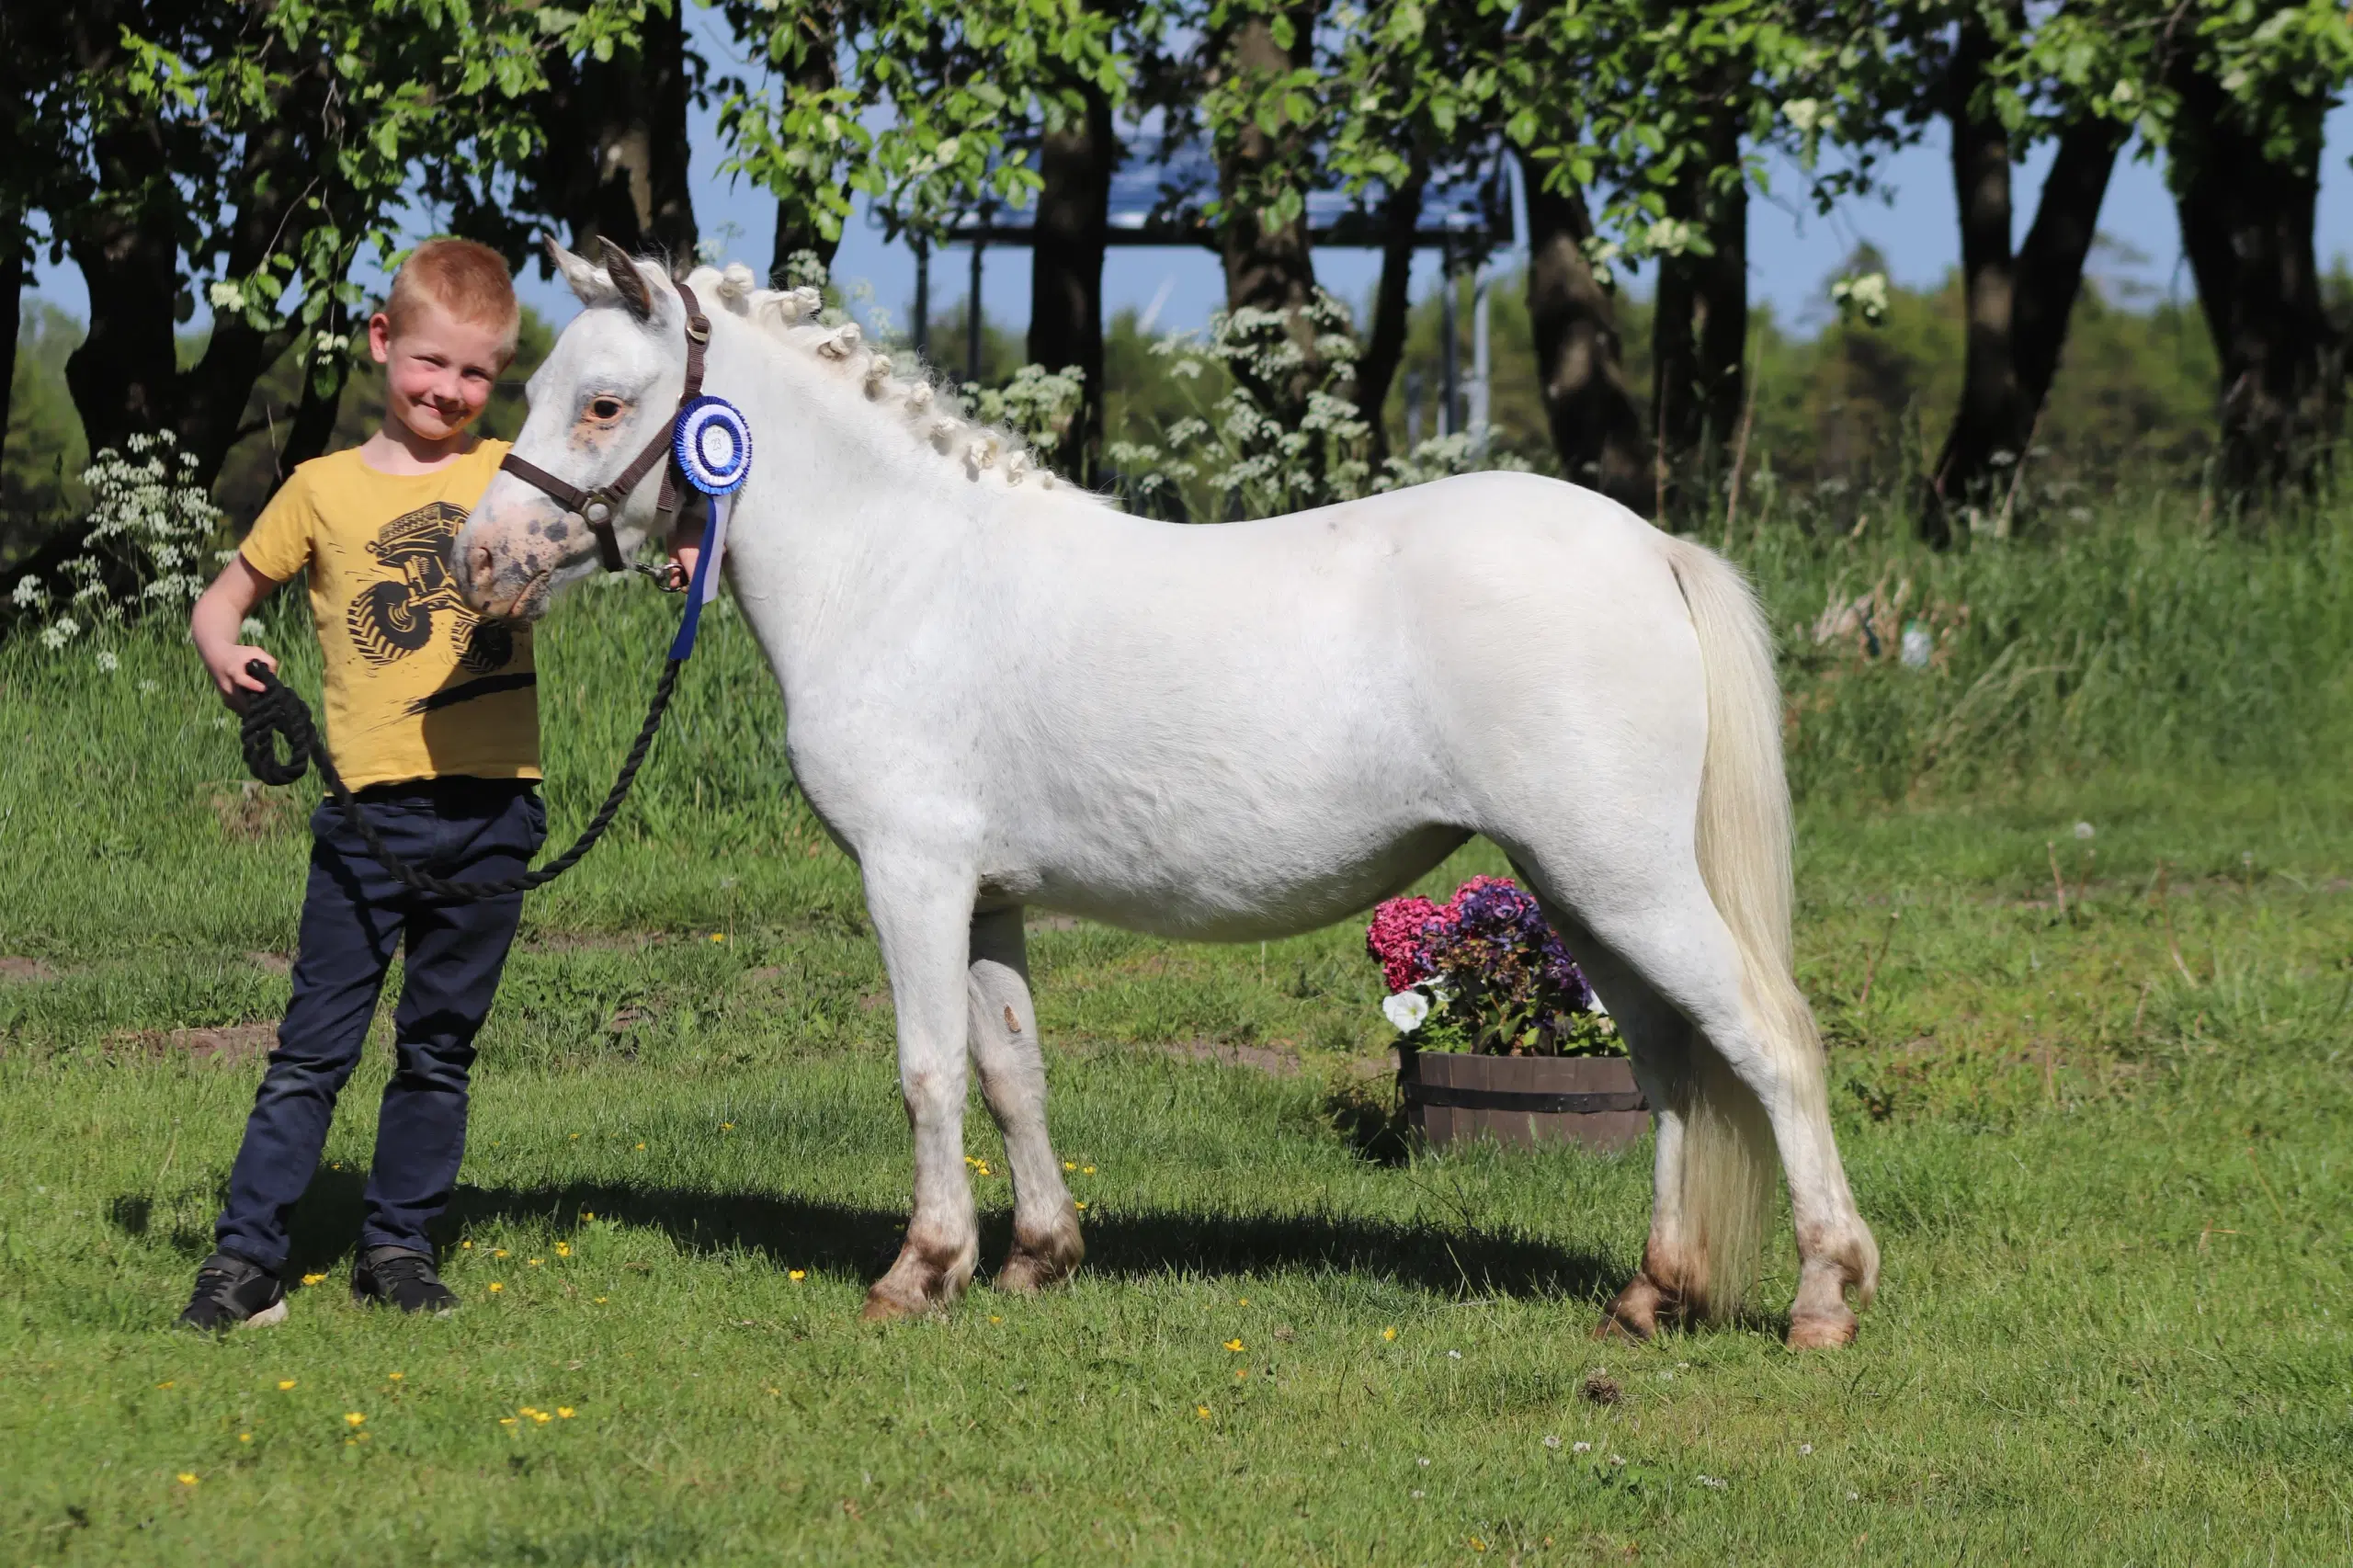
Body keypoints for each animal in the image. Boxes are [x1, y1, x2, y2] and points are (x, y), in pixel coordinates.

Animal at [459, 244, 1882, 1346]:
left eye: (602, 402)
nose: (481, 561)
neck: (899, 570)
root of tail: (1649, 546)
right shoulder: (987, 896)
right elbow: (1011, 1067)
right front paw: (1034, 1257)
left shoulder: (910, 874)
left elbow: (926, 1068)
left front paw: (920, 1272)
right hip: (1581, 891)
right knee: (1674, 1066)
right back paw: (1651, 1294)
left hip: (1618, 879)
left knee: (1767, 1043)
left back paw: (1823, 1295)